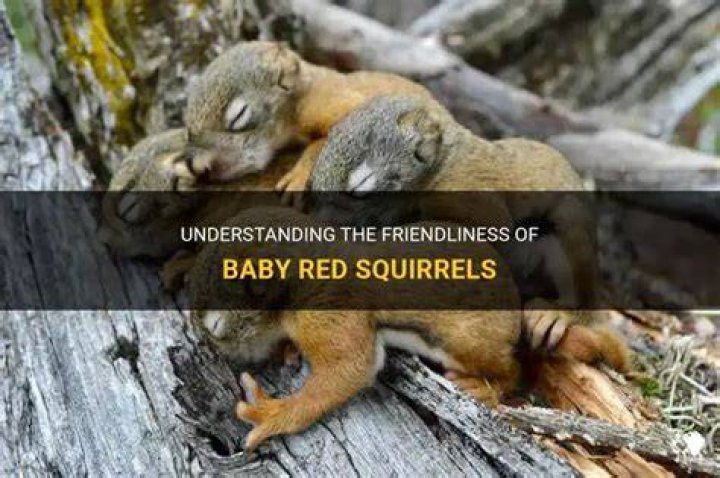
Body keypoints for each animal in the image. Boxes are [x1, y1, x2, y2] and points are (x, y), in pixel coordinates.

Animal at [177, 41, 438, 204]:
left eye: (239, 116)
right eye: (188, 131)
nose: (201, 169)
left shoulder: (330, 103)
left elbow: (326, 140)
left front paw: (298, 177)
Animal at [187, 206, 630, 451]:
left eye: (217, 326)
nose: (213, 349)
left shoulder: (331, 313)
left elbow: (350, 367)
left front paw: (271, 413)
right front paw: (288, 349)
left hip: (466, 341)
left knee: (513, 370)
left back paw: (484, 387)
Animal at [308, 95, 614, 355]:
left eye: (360, 188)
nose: (323, 224)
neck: (440, 168)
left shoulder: (470, 191)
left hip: (569, 234)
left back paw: (562, 313)